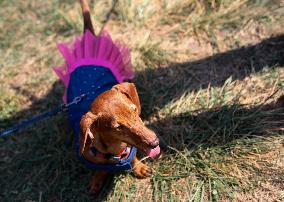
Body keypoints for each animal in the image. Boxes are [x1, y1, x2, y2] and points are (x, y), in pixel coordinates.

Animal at [76, 0, 160, 194]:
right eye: (118, 127)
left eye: (135, 110)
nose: (155, 143)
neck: (115, 150)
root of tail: (90, 39)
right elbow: (99, 168)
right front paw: (97, 180)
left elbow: (133, 157)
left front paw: (139, 167)